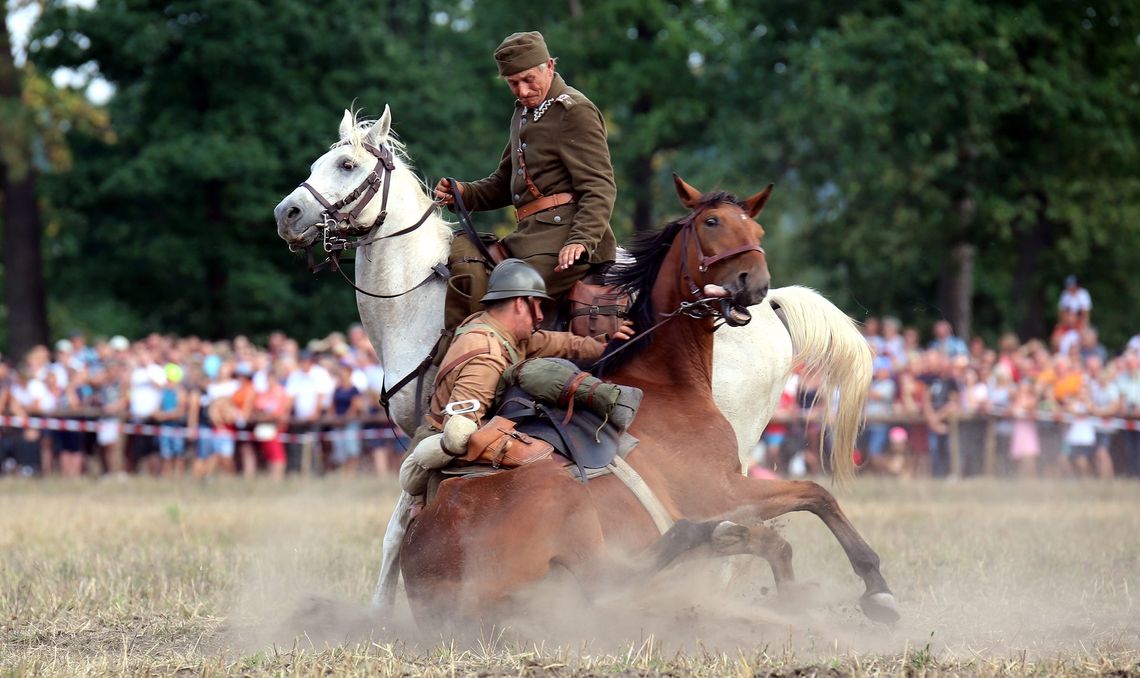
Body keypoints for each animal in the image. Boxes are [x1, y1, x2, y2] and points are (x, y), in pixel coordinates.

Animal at [396, 175, 893, 624]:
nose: (754, 283)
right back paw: (712, 535)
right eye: (712, 221)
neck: (664, 380)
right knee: (610, 578)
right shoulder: (722, 488)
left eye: (757, 230)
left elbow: (793, 525)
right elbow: (815, 494)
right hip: (570, 507)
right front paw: (875, 586)